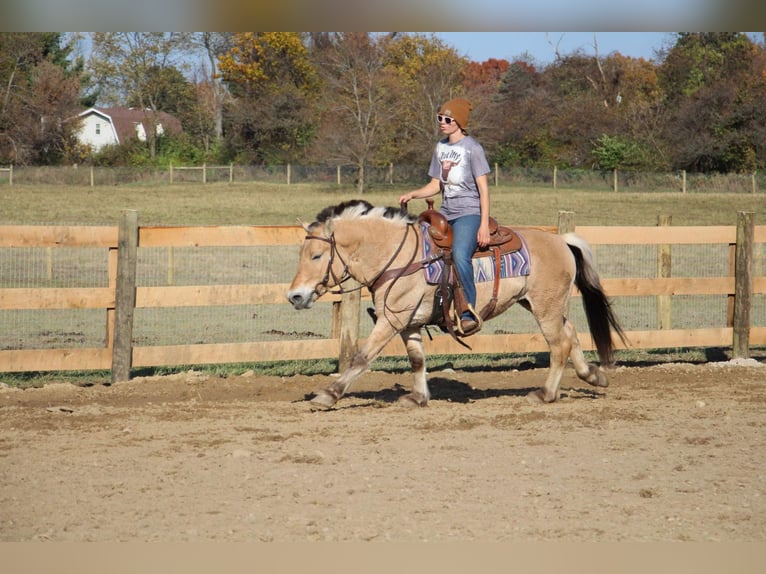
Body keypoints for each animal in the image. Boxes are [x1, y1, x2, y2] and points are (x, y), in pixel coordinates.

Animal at [284, 200, 628, 412]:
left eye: (316, 255)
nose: (295, 297)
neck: (400, 256)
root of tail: (561, 240)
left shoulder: (391, 320)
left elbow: (361, 357)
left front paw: (328, 394)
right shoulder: (408, 323)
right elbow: (417, 360)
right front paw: (418, 397)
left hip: (546, 308)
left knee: (558, 345)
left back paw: (545, 393)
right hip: (544, 306)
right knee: (571, 335)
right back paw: (592, 375)